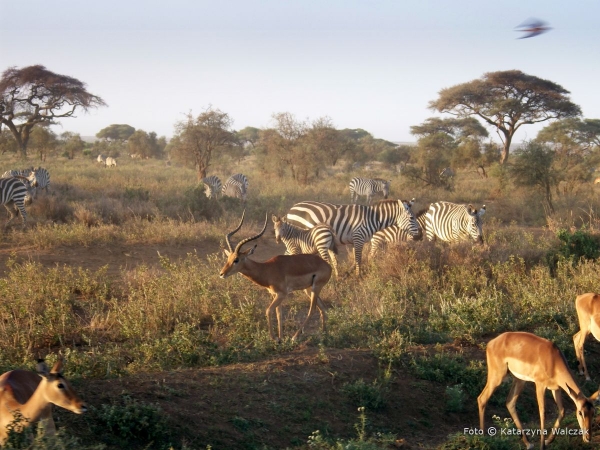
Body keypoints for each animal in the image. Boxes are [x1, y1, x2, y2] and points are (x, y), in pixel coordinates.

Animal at [220, 211, 332, 342]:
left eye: (236, 259)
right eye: (228, 258)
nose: (222, 274)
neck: (267, 269)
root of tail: (327, 266)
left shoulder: (282, 294)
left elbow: (269, 311)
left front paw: (273, 338)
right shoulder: (275, 294)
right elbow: (279, 314)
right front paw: (280, 338)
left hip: (315, 287)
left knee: (312, 309)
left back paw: (295, 337)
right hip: (308, 289)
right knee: (322, 307)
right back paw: (324, 334)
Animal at [284, 200, 418, 276]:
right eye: (412, 218)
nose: (420, 233)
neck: (373, 218)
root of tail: (291, 209)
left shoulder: (355, 240)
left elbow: (355, 259)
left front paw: (348, 274)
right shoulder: (359, 237)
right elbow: (358, 259)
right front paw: (359, 276)